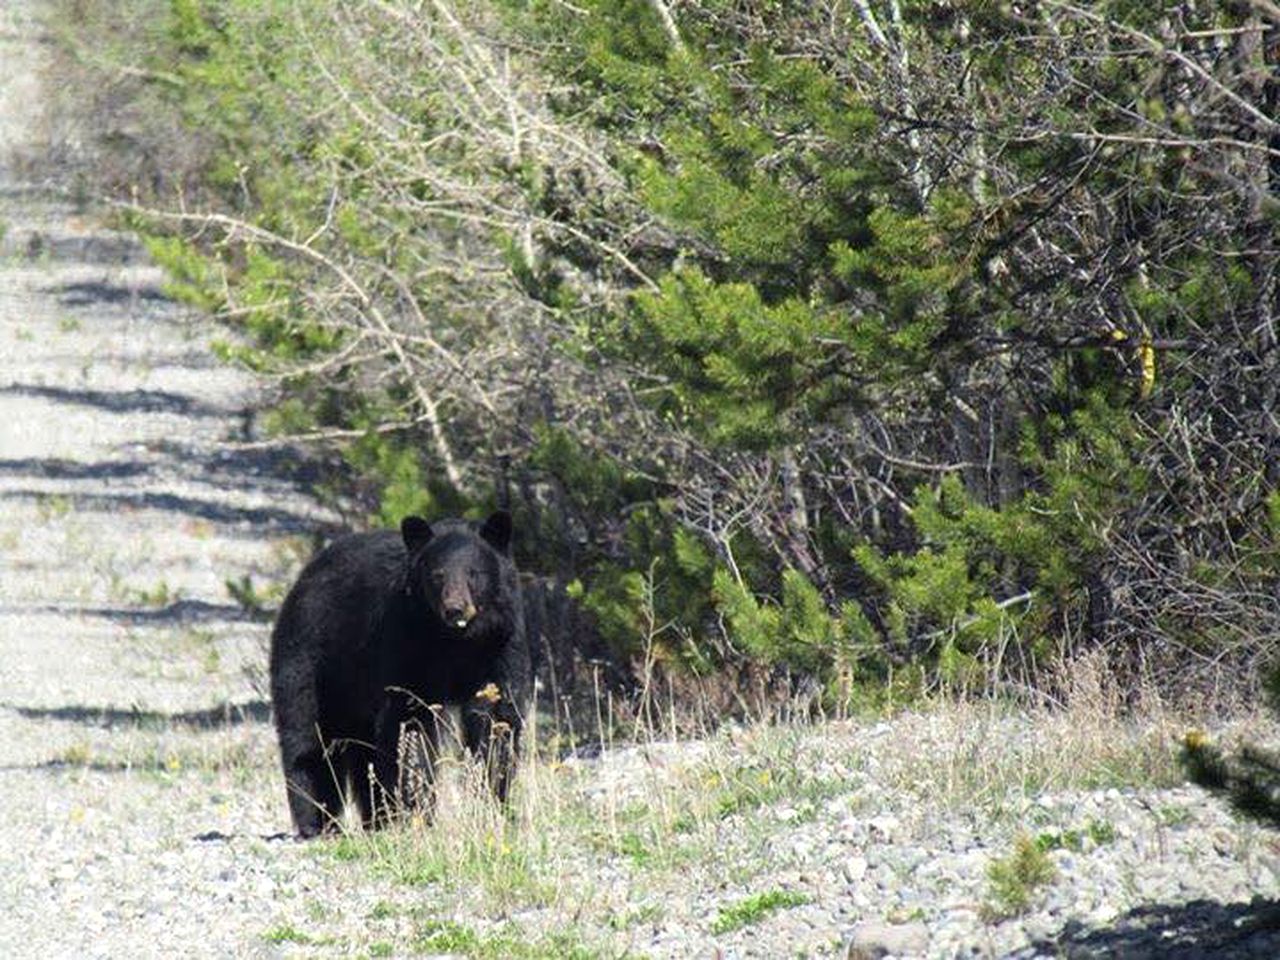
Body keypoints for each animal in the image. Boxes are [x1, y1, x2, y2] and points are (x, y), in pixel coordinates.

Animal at [270, 514, 529, 839]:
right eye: (437, 575)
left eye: (474, 573)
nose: (455, 609)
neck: (456, 642)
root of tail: (304, 576)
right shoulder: (406, 642)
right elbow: (411, 722)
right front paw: (420, 812)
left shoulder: (499, 645)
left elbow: (495, 719)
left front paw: (496, 805)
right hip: (311, 657)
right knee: (307, 737)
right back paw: (317, 821)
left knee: (362, 751)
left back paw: (375, 819)